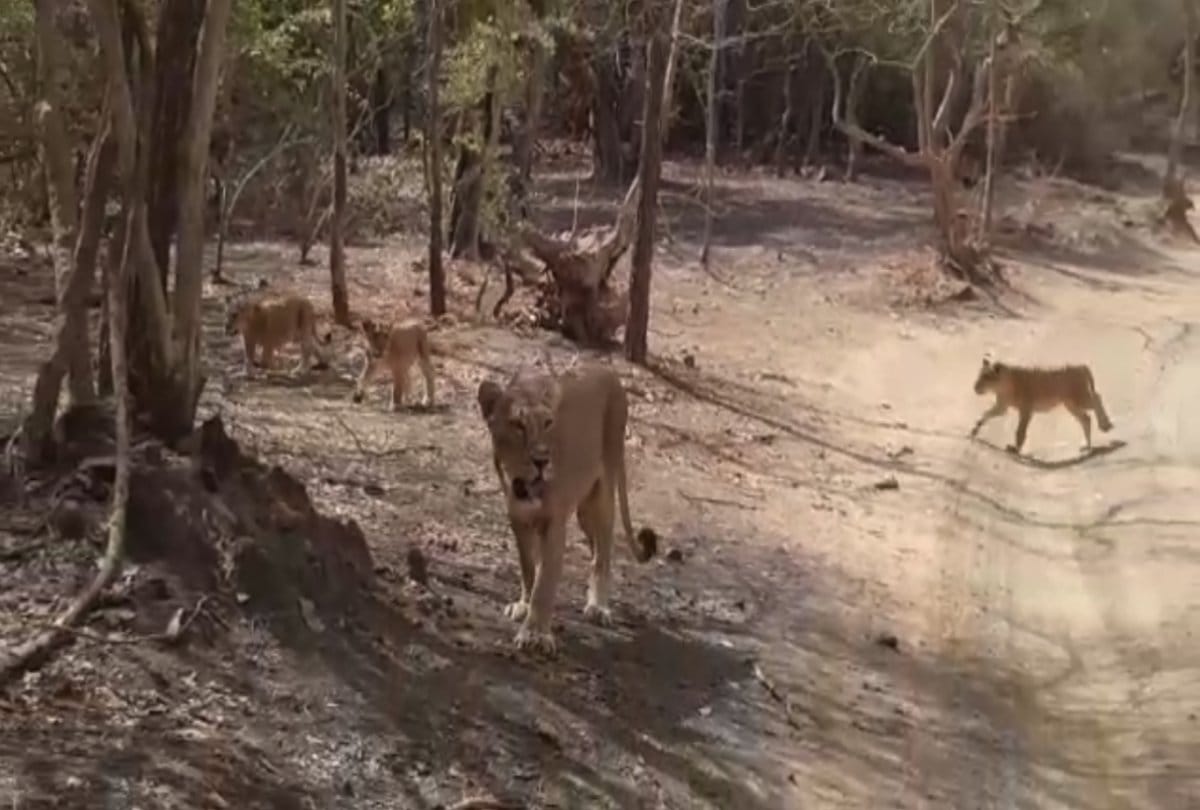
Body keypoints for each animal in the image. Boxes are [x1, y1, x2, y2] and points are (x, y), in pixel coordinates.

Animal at [477, 364, 658, 654]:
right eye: (517, 425)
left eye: (548, 423)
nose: (541, 461)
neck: (523, 488)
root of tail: (608, 369)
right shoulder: (517, 518)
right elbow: (528, 567)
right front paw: (524, 605)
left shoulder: (554, 523)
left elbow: (545, 583)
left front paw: (535, 634)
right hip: (584, 511)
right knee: (595, 549)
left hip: (603, 492)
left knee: (603, 554)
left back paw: (598, 607)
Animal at [969, 358, 1113, 454]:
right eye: (980, 374)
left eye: (986, 376)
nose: (975, 387)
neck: (1003, 385)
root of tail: (1081, 366)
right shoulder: (1002, 407)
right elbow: (986, 414)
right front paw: (974, 430)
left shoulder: (1026, 410)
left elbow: (1020, 431)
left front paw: (1015, 449)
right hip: (1071, 404)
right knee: (1086, 419)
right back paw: (1087, 446)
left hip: (1080, 398)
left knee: (1097, 399)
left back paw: (1106, 425)